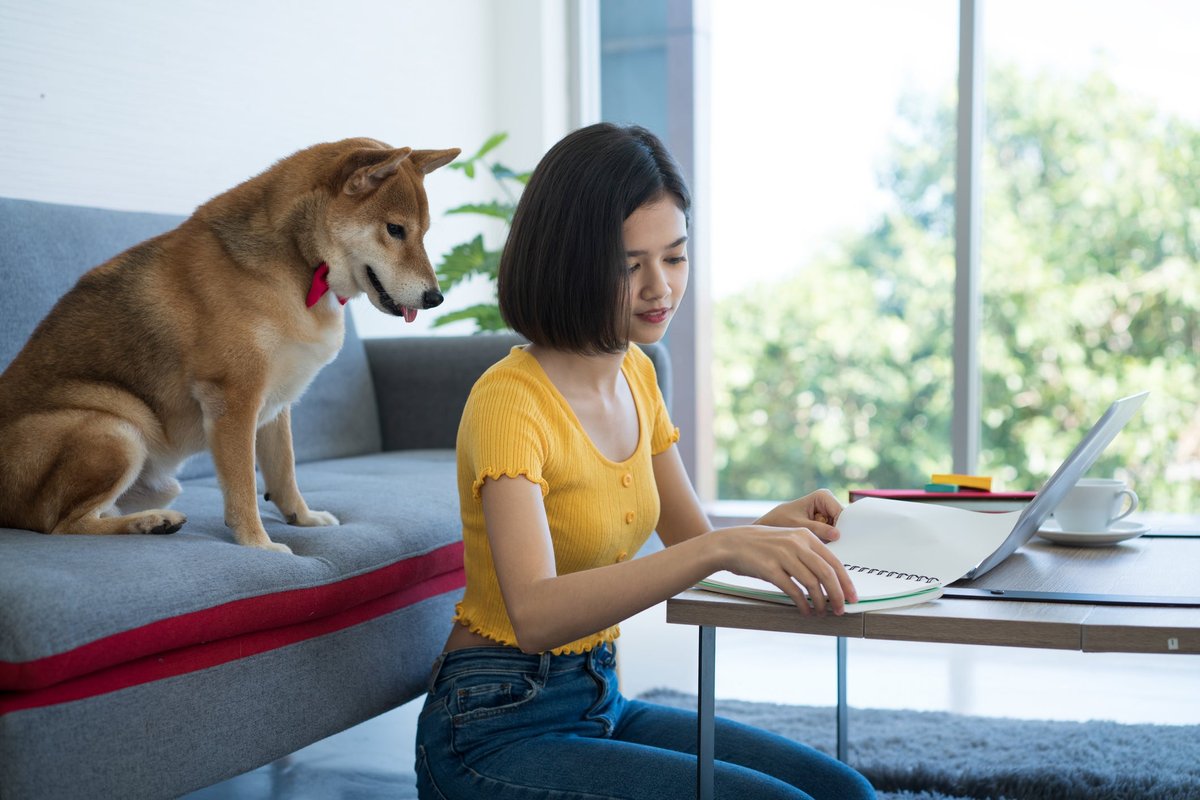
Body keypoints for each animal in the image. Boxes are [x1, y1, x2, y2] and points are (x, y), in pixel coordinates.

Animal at [0, 137, 458, 554]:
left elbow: (284, 471)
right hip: (116, 427)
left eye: (424, 233)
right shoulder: (234, 399)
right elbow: (241, 486)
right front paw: (259, 545)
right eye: (395, 230)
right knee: (62, 524)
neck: (301, 264)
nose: (436, 298)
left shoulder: (276, 405)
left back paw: (147, 519)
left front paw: (303, 518)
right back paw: (149, 523)